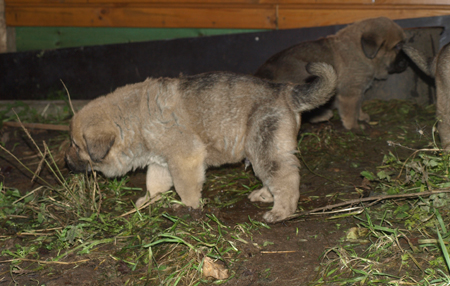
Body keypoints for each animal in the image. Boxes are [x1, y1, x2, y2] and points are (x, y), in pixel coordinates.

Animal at [65, 63, 336, 222]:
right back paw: (264, 195)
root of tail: (285, 91)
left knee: (285, 179)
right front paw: (149, 201)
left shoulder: (185, 158)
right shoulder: (161, 162)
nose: (66, 163)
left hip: (264, 146)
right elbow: (154, 183)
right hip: (263, 149)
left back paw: (281, 212)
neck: (134, 120)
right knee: (275, 177)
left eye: (76, 146)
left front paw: (188, 208)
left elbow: (185, 187)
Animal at [256, 16, 408, 130]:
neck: (363, 52)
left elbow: (358, 106)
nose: (406, 63)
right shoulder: (349, 92)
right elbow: (350, 110)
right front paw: (353, 126)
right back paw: (322, 116)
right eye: (397, 46)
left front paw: (361, 116)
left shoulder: (358, 90)